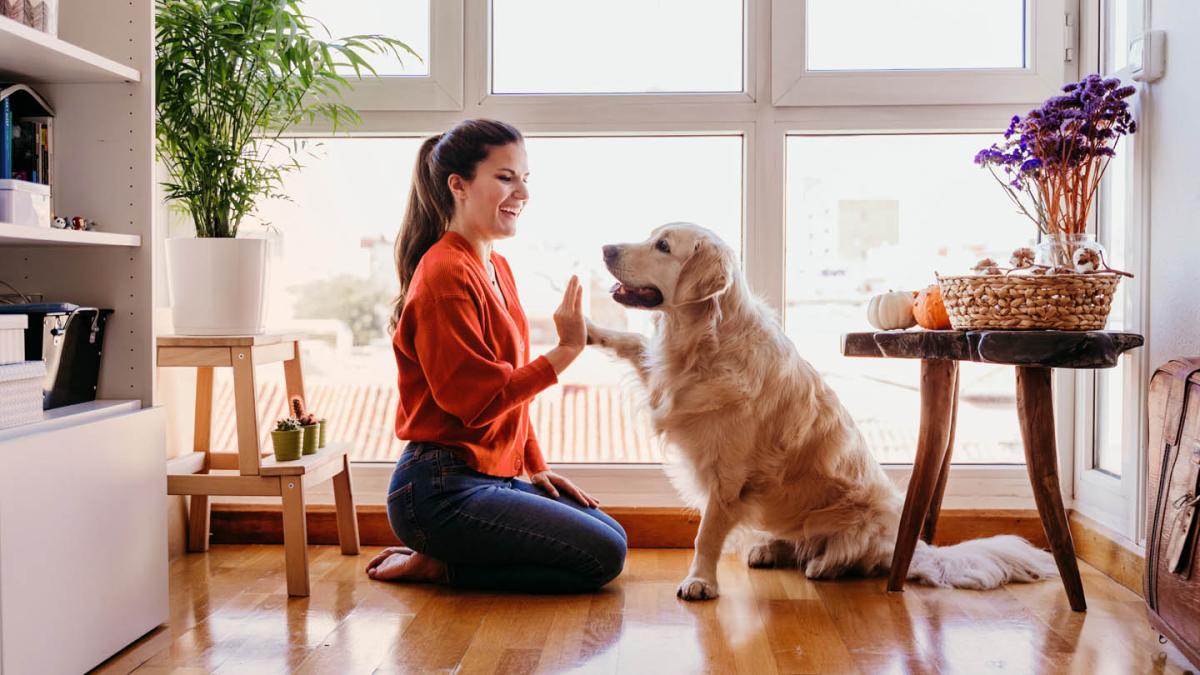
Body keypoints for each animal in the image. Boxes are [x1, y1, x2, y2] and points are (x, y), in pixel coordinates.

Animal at [585, 220, 1056, 598]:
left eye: (663, 246)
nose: (605, 248)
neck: (702, 342)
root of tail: (913, 548)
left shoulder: (728, 477)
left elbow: (706, 536)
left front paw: (700, 581)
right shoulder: (665, 381)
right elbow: (632, 342)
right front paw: (587, 328)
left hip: (862, 517)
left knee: (852, 557)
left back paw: (823, 566)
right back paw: (769, 549)